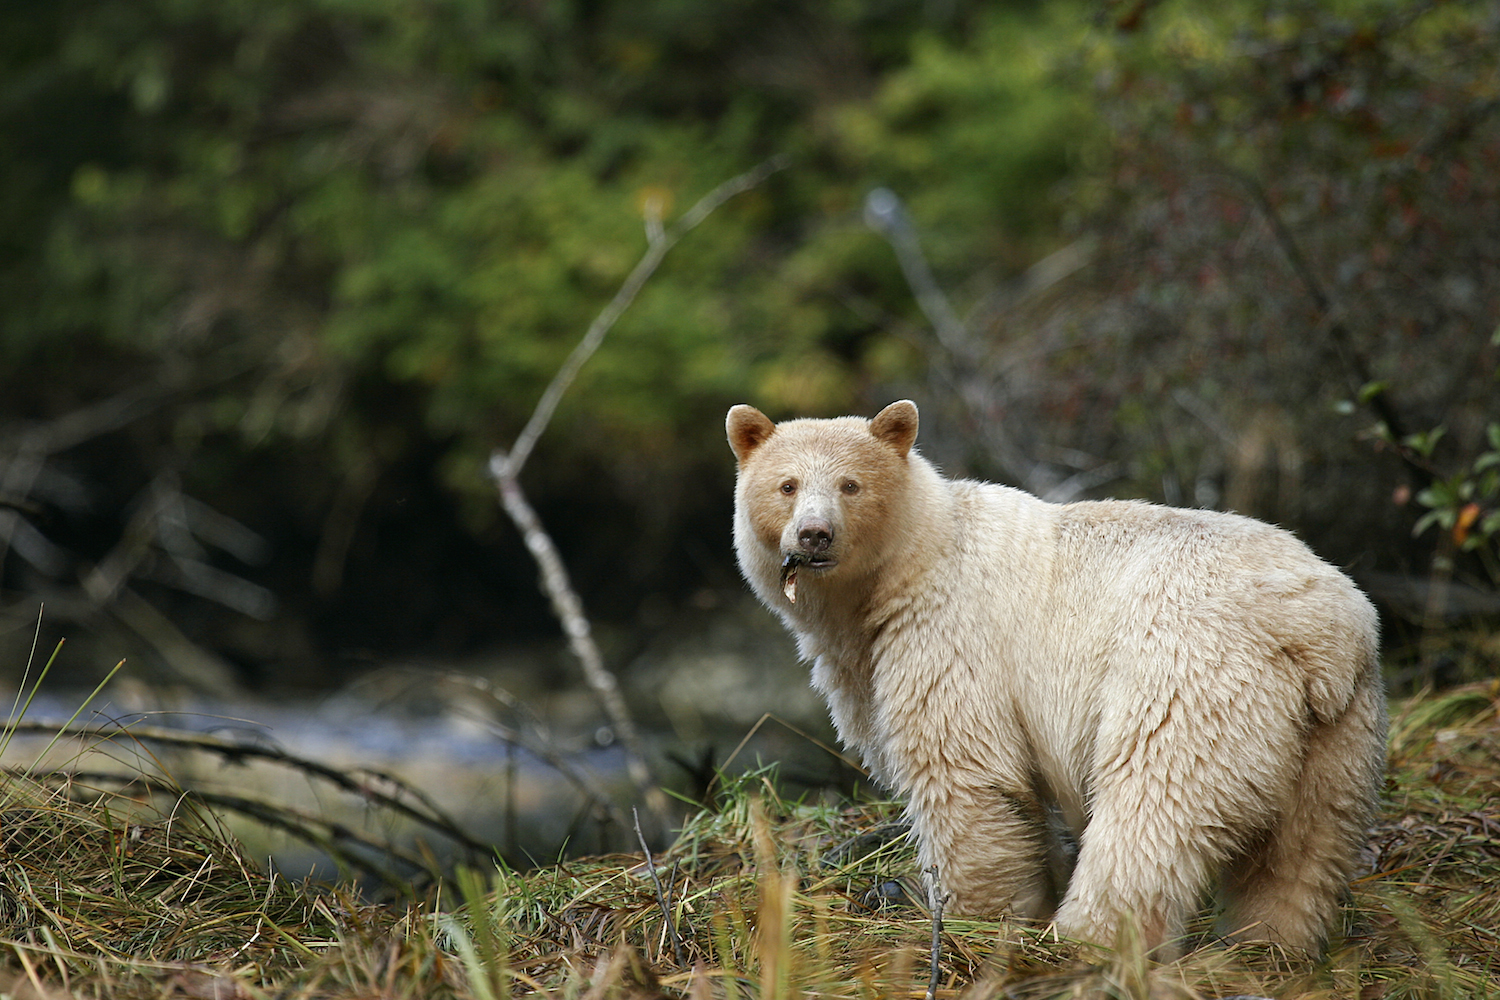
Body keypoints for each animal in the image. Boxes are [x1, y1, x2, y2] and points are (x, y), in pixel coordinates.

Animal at [726, 395, 1380, 953]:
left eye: (850, 484)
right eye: (787, 485)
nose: (814, 534)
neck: (905, 567)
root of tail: (1318, 631)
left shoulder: (950, 633)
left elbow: (965, 773)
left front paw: (971, 918)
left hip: (1190, 677)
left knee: (1153, 807)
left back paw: (1087, 938)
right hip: (1337, 726)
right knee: (1304, 844)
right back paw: (1268, 942)